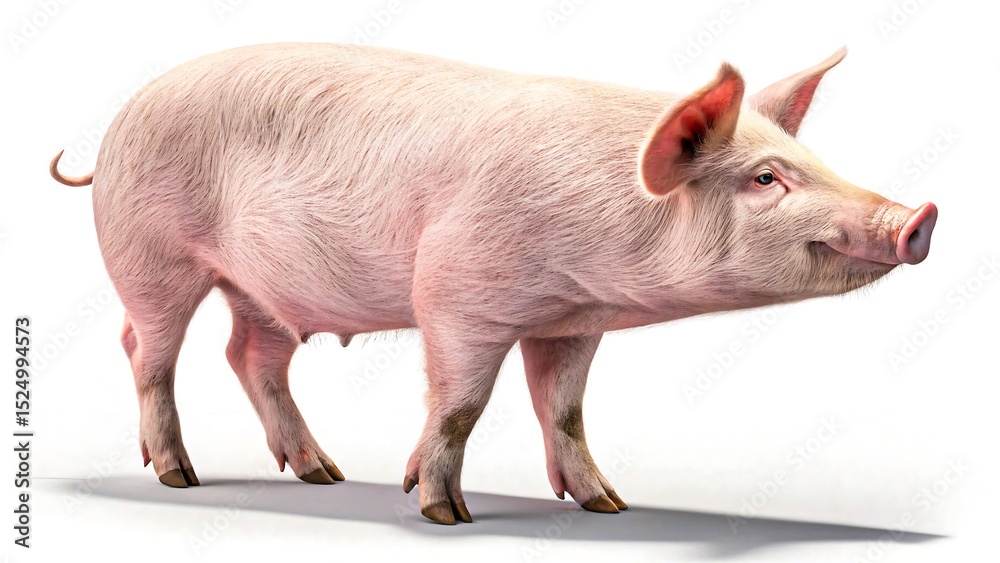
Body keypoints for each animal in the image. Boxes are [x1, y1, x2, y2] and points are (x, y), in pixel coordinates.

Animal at [50, 43, 936, 525]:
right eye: (764, 178)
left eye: (812, 161)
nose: (919, 215)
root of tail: (116, 126)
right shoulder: (453, 291)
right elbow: (461, 404)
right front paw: (443, 510)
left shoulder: (571, 321)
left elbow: (565, 408)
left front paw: (608, 504)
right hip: (150, 252)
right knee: (147, 350)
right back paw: (180, 474)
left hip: (260, 284)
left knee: (250, 354)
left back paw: (323, 472)